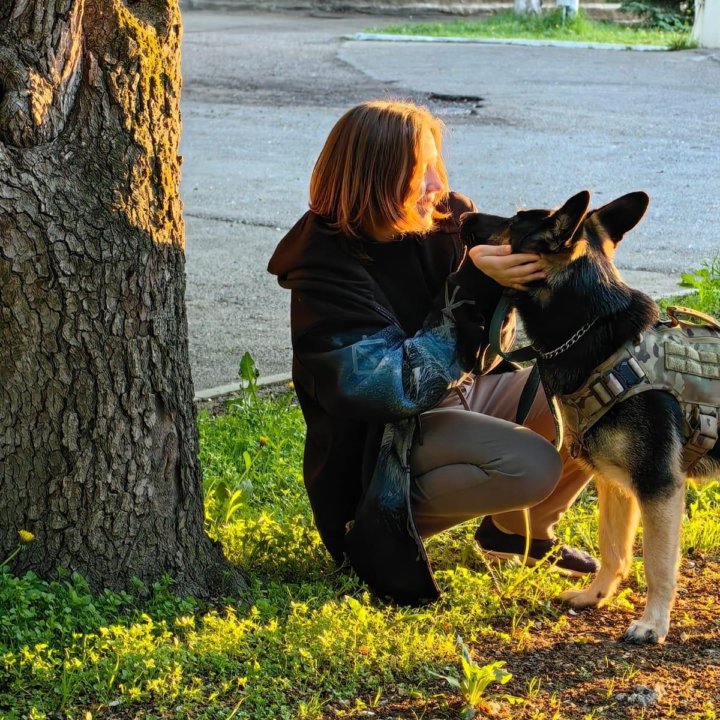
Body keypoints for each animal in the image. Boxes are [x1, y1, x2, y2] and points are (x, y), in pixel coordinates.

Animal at [462, 190, 720, 640]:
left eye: (513, 220)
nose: (462, 216)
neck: (593, 329)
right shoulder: (615, 485)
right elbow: (613, 550)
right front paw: (595, 596)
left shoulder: (659, 486)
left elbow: (657, 565)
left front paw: (653, 623)